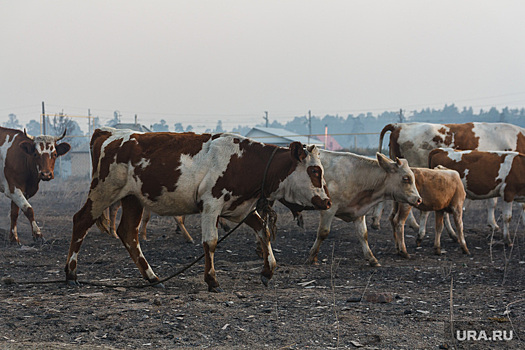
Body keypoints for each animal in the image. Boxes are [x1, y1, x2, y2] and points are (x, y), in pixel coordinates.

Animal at [63, 127, 330, 292]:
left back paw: (153, 278)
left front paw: (268, 270)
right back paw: (71, 274)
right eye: (314, 171)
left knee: (128, 233)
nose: (327, 202)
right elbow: (210, 242)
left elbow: (263, 232)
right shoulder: (211, 205)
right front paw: (212, 280)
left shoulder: (240, 209)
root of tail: (107, 133)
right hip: (104, 191)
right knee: (81, 220)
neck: (244, 160)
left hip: (132, 199)